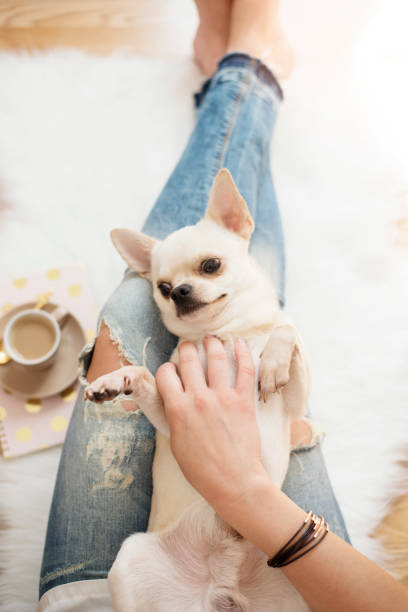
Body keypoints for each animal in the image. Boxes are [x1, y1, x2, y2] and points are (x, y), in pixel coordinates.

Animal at [84, 169, 310, 612]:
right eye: (162, 287)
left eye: (210, 265)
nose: (180, 292)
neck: (224, 335)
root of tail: (220, 587)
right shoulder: (174, 418)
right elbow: (145, 375)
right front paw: (114, 380)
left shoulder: (295, 403)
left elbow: (286, 329)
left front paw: (273, 360)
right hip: (131, 560)